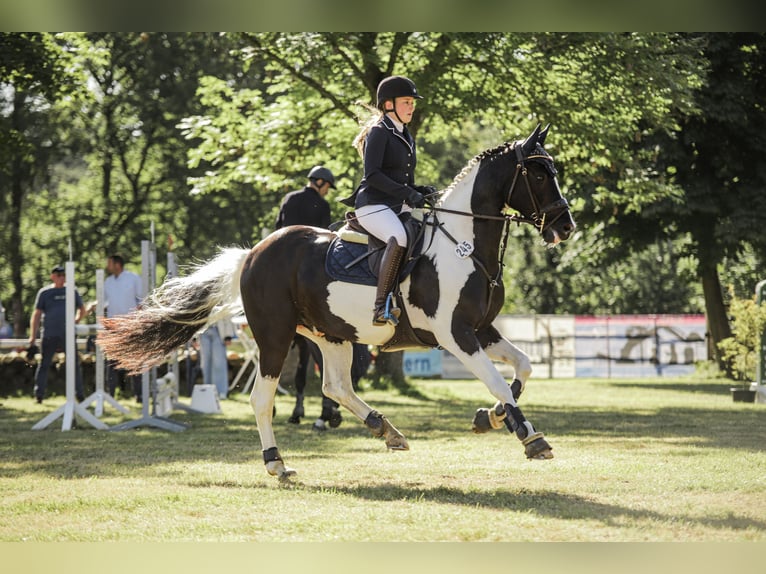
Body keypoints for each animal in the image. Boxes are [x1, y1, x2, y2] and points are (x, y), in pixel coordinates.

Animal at [97, 125, 576, 482]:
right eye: (537, 174)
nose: (565, 226)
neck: (464, 246)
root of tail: (252, 253)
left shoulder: (480, 329)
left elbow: (522, 368)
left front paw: (489, 418)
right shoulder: (454, 334)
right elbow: (498, 382)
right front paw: (530, 437)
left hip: (331, 334)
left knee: (336, 386)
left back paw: (385, 429)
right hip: (275, 337)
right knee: (263, 398)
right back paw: (277, 464)